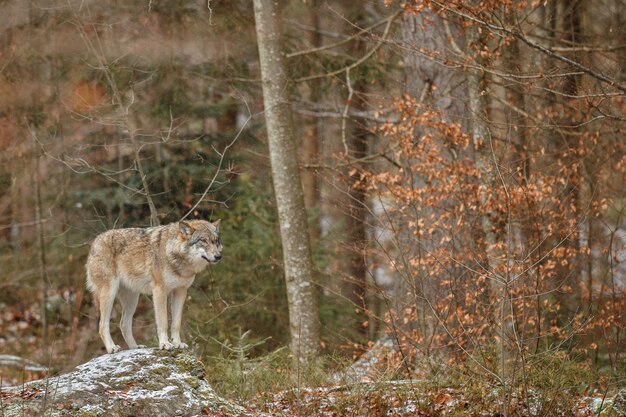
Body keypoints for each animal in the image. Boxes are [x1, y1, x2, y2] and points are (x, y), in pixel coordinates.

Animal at [85, 219, 222, 352]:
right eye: (203, 240)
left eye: (215, 241)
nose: (218, 256)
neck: (174, 254)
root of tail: (95, 242)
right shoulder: (159, 291)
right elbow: (163, 322)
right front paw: (165, 344)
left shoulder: (181, 291)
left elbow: (176, 323)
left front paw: (178, 344)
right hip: (109, 294)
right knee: (102, 325)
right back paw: (111, 348)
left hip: (132, 299)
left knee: (123, 324)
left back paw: (135, 347)